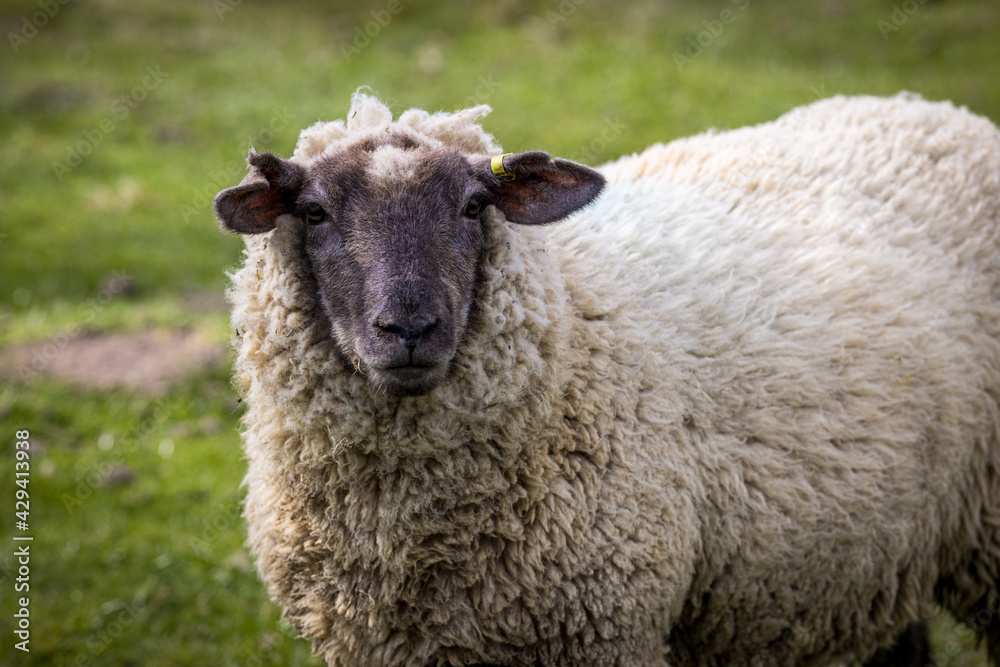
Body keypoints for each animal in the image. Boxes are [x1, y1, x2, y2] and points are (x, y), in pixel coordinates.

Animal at [215, 90, 1000, 667]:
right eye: (314, 212)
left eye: (474, 205)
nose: (409, 327)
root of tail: (933, 109)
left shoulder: (604, 626)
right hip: (879, 548)